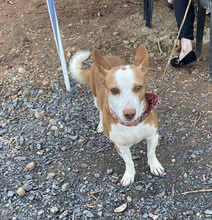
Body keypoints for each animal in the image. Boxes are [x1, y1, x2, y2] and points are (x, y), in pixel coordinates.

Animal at [69, 45, 164, 186]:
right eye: (114, 90)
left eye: (138, 87)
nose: (129, 113)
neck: (132, 125)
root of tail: (105, 57)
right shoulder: (120, 146)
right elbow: (129, 162)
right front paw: (129, 175)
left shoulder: (152, 135)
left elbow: (151, 153)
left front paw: (154, 166)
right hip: (95, 98)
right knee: (100, 111)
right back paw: (100, 125)